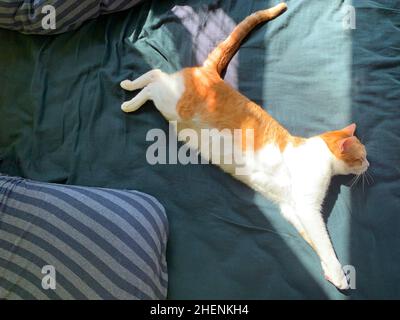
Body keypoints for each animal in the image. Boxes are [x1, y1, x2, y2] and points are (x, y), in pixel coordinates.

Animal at [119, 1, 368, 290]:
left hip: (170, 106)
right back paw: (130, 95)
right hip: (171, 101)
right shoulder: (308, 208)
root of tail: (210, 74)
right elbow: (324, 241)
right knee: (155, 77)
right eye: (361, 158)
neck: (319, 154)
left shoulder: (293, 209)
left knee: (157, 76)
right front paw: (339, 272)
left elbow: (314, 240)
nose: (369, 164)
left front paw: (329, 271)